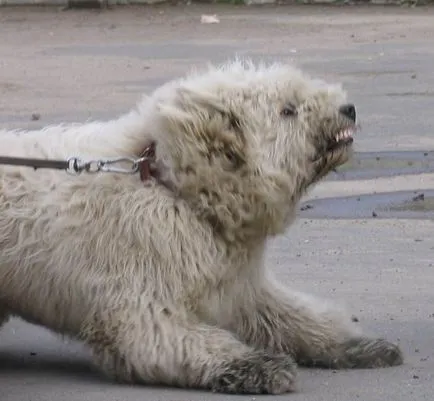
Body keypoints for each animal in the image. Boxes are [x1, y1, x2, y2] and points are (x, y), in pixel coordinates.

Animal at [0, 59, 402, 394]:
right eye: (287, 110)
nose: (348, 108)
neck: (173, 188)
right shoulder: (139, 301)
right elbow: (168, 340)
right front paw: (254, 364)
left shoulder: (241, 285)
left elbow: (294, 317)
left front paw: (353, 343)